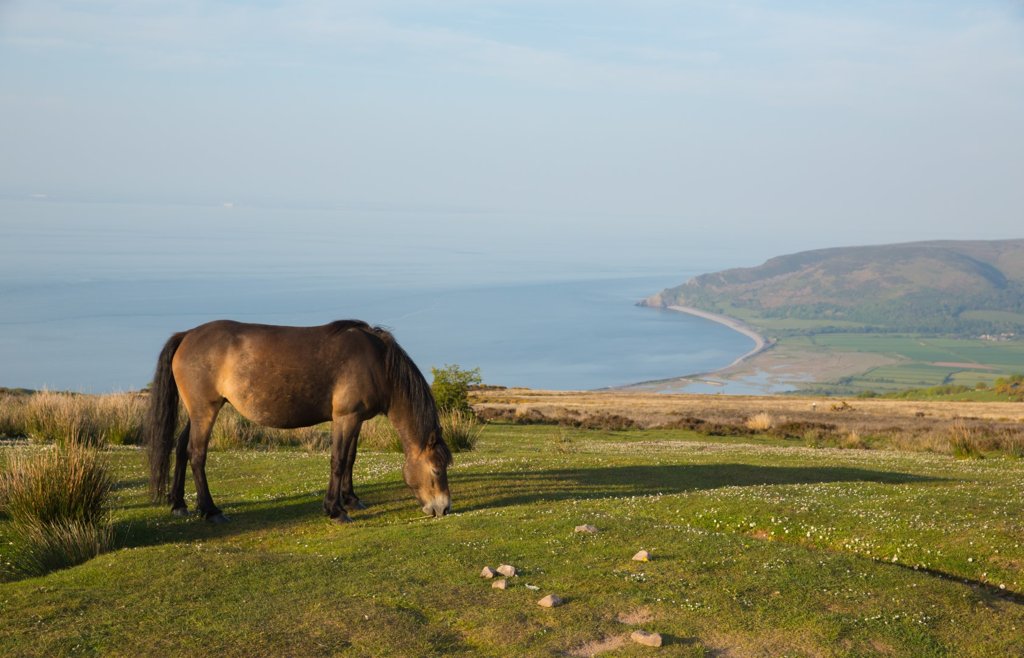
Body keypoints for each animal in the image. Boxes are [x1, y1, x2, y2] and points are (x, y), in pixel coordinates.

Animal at [145, 321, 452, 523]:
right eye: (436, 470)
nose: (444, 508)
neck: (377, 361)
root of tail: (186, 335)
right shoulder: (345, 418)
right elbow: (339, 460)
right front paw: (335, 510)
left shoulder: (357, 419)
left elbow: (351, 459)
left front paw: (350, 500)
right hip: (205, 411)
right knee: (196, 454)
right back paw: (210, 511)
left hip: (197, 412)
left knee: (180, 447)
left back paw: (179, 503)